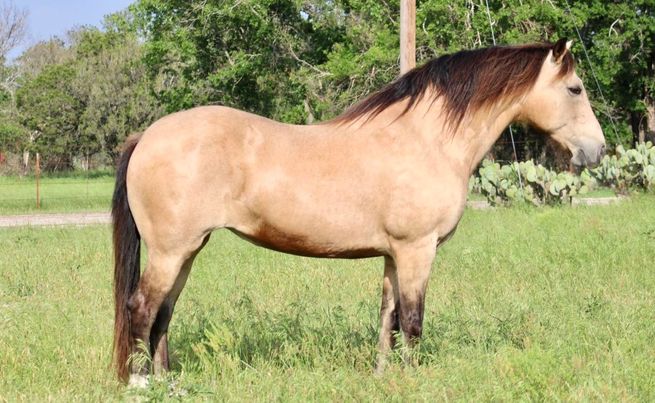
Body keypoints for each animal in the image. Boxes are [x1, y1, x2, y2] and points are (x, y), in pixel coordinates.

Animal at [112, 38, 606, 386]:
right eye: (575, 88)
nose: (597, 150)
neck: (426, 139)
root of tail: (147, 136)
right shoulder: (416, 251)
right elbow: (413, 320)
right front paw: (414, 379)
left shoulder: (392, 255)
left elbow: (388, 318)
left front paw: (384, 376)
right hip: (171, 252)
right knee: (141, 308)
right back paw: (142, 383)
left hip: (186, 251)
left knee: (162, 315)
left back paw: (169, 383)